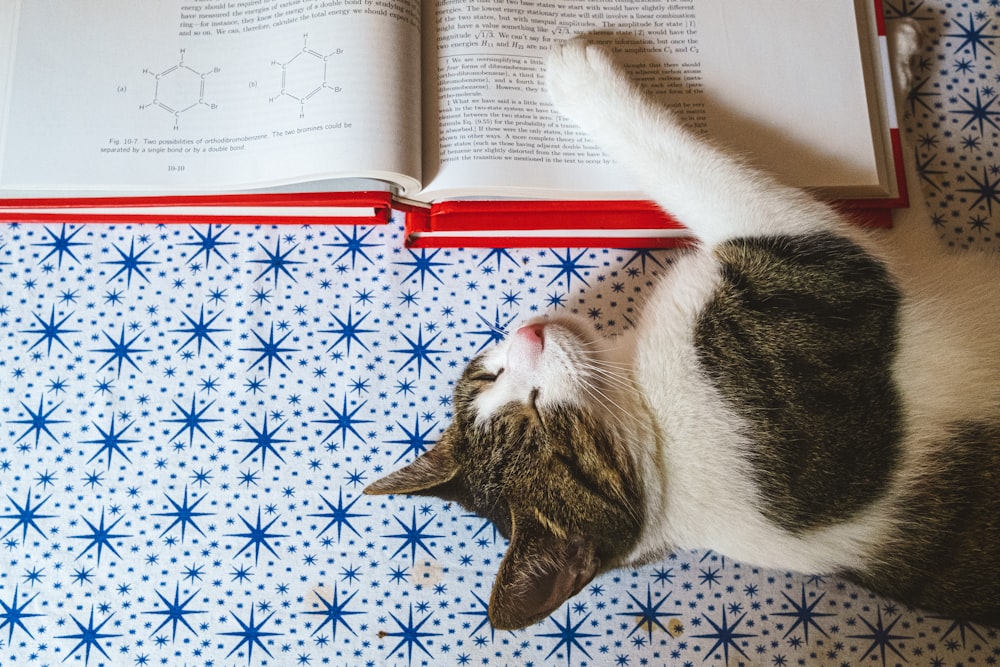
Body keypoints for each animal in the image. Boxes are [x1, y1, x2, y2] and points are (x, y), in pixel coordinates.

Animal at [366, 24, 1000, 632]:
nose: (527, 338)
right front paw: (581, 77)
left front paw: (894, 59)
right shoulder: (817, 284)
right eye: (543, 417)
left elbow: (909, 215)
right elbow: (700, 173)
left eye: (493, 378)